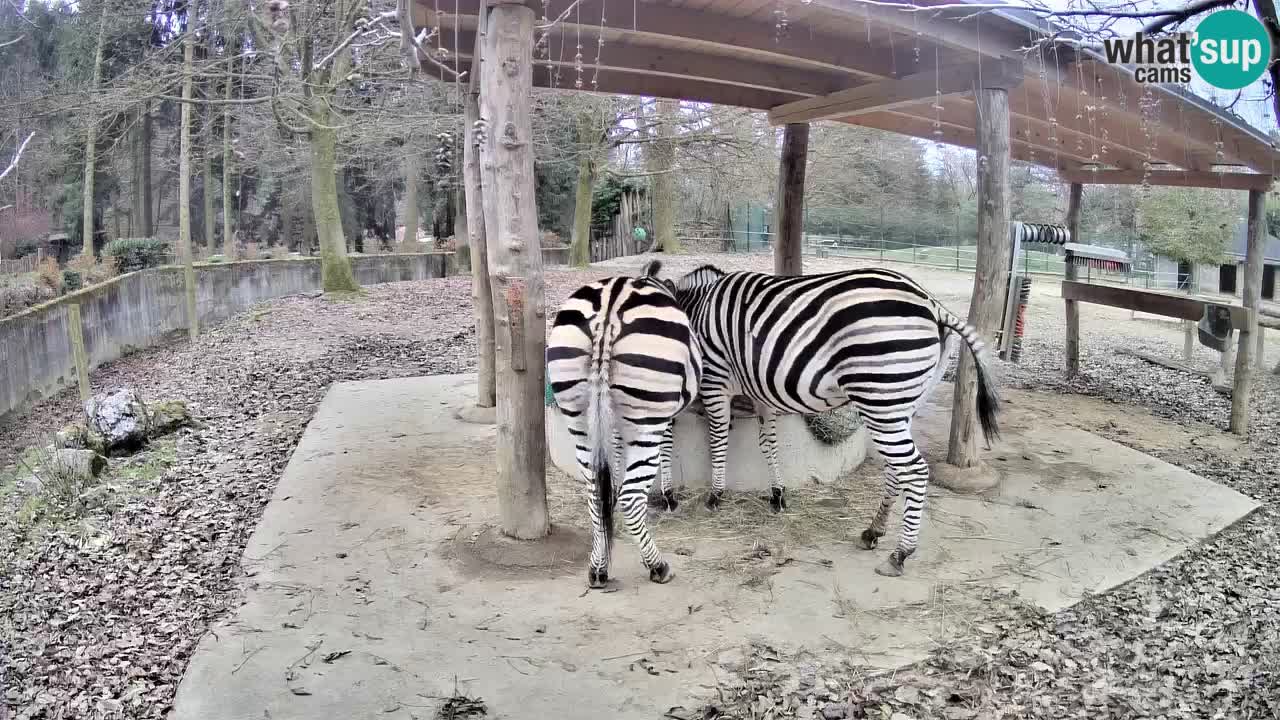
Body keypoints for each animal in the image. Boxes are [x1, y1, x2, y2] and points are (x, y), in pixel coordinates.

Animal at [540, 260, 701, 586]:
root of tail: (608, 310)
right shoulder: (665, 417)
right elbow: (666, 450)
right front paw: (669, 497)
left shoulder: (609, 423)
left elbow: (611, 469)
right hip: (646, 419)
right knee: (631, 497)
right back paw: (657, 566)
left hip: (579, 417)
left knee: (593, 493)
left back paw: (598, 568)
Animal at [665, 263, 1003, 576]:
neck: (696, 312)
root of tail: (931, 304)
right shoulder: (759, 389)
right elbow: (768, 443)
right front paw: (777, 495)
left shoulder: (715, 380)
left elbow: (718, 439)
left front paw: (715, 496)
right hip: (902, 404)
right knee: (897, 469)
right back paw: (873, 531)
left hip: (880, 400)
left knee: (915, 470)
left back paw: (900, 554)